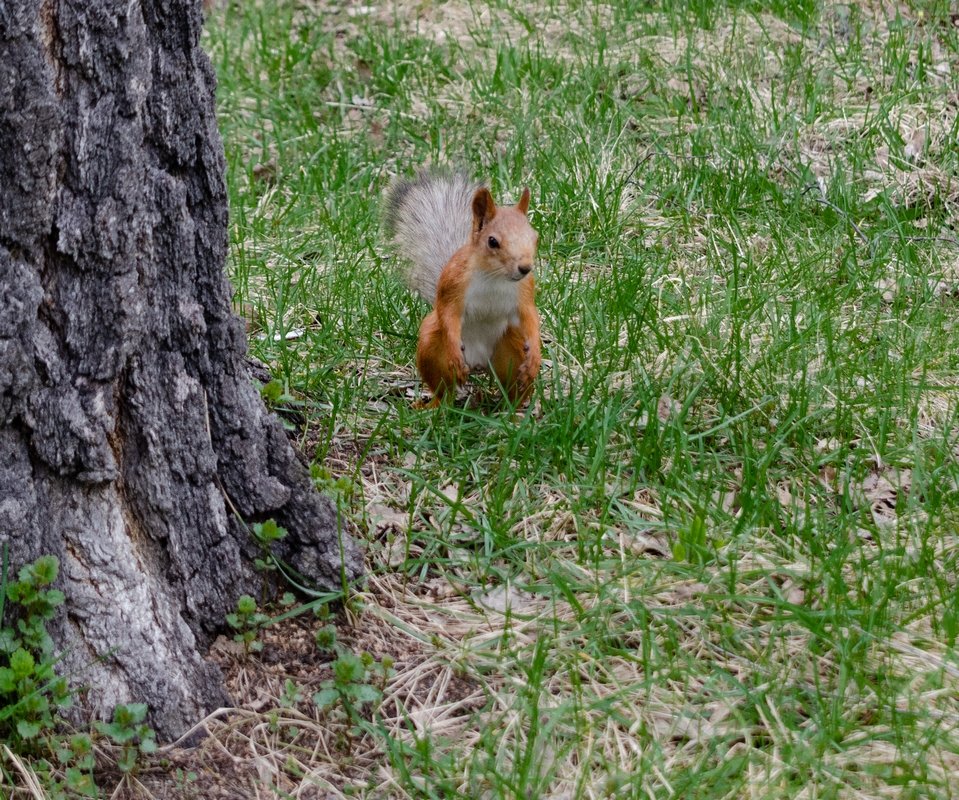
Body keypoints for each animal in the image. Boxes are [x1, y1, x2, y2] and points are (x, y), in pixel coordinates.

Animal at [386, 168, 544, 406]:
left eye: (535, 237)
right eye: (492, 241)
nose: (525, 267)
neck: (494, 276)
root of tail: (479, 363)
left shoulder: (525, 292)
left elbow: (531, 318)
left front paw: (535, 354)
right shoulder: (452, 286)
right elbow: (449, 315)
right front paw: (454, 352)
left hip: (511, 349)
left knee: (512, 387)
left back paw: (513, 408)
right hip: (431, 347)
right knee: (444, 389)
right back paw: (434, 405)